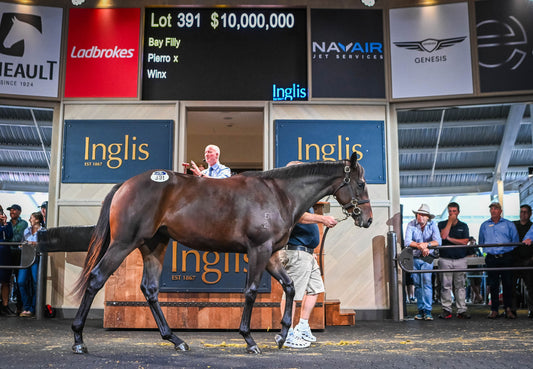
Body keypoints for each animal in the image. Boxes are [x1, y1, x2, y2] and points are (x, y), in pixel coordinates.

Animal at [70, 152, 372, 354]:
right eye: (360, 184)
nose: (367, 219)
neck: (278, 194)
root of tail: (125, 185)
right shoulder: (258, 250)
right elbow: (250, 292)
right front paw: (249, 340)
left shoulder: (271, 254)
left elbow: (288, 287)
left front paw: (282, 334)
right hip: (124, 243)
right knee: (96, 279)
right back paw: (78, 340)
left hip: (154, 245)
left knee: (150, 289)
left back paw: (176, 340)